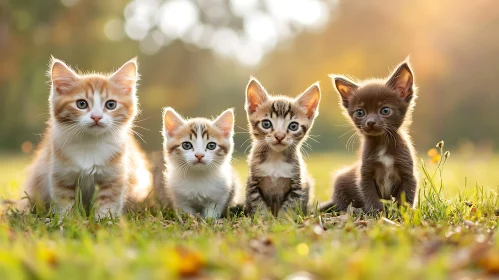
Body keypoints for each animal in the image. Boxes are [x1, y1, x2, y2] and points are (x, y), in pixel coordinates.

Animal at [20, 57, 152, 219]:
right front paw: (66, 219)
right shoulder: (61, 174)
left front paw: (103, 220)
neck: (90, 143)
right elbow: (64, 200)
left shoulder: (114, 177)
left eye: (111, 104)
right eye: (81, 104)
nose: (96, 117)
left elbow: (108, 201)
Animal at [245, 77, 320, 218]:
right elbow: (259, 205)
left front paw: (284, 220)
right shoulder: (253, 183)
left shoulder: (297, 185)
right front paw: (263, 220)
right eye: (266, 124)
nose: (279, 136)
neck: (275, 158)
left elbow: (289, 207)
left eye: (293, 126)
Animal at [320, 60, 418, 213]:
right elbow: (370, 195)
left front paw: (403, 213)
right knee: (342, 204)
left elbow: (406, 196)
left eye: (385, 110)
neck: (382, 143)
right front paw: (377, 213)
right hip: (340, 183)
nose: (370, 122)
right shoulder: (365, 175)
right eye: (360, 113)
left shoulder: (408, 173)